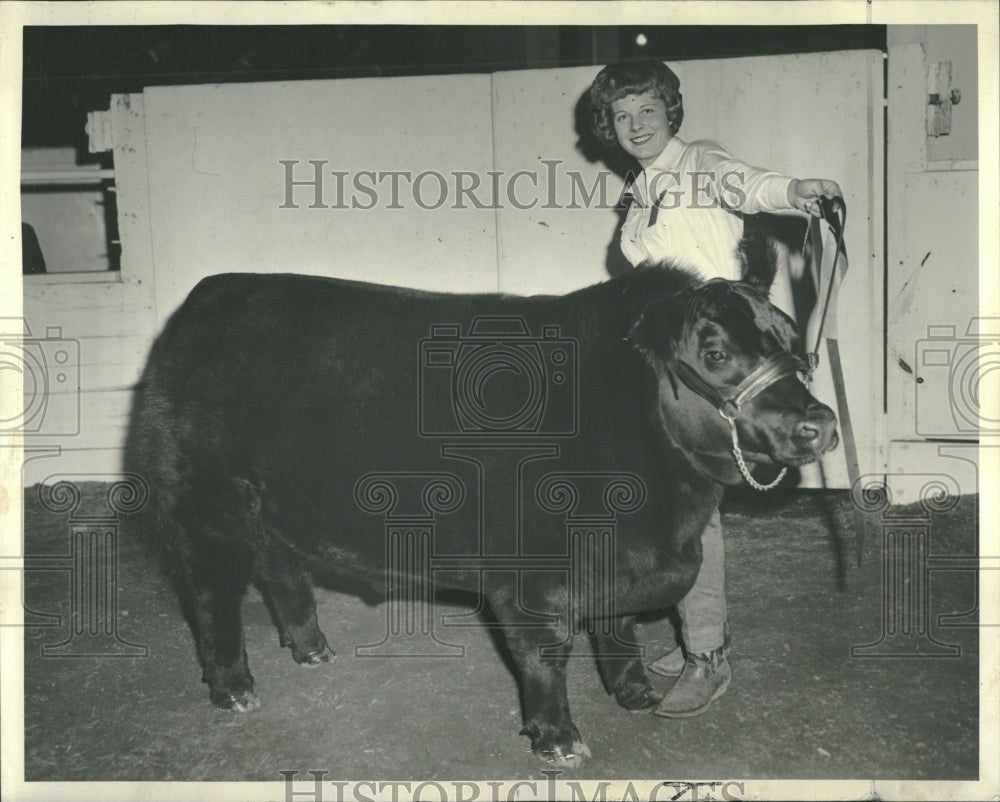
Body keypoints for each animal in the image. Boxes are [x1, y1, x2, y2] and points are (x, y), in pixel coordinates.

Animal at [129, 241, 840, 764]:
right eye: (716, 353)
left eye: (792, 341)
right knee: (212, 597)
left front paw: (634, 694)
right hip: (203, 505)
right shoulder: (535, 575)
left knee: (280, 572)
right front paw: (559, 742)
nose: (820, 423)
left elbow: (618, 628)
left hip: (273, 509)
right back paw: (234, 689)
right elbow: (546, 655)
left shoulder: (618, 558)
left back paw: (311, 647)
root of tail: (208, 295)